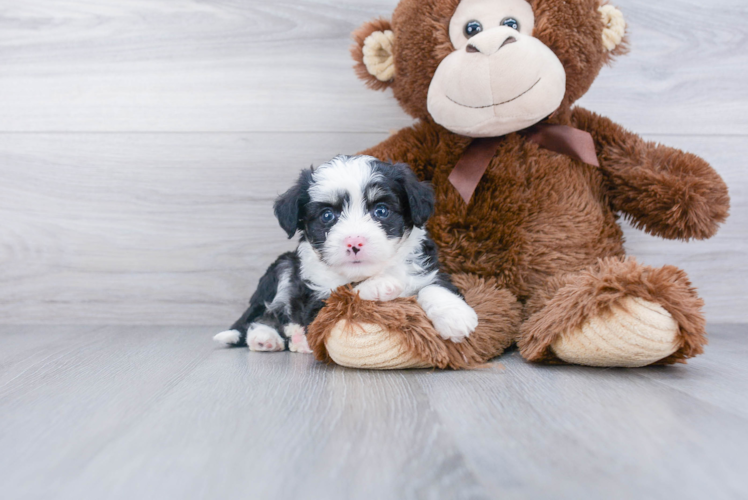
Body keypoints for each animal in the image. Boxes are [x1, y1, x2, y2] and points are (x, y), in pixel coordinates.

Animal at [213, 154, 480, 354]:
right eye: (327, 215)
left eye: (381, 210)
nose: (354, 242)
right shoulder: (315, 303)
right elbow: (342, 295)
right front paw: (380, 286)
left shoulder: (427, 267)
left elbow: (433, 286)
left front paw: (455, 316)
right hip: (282, 267)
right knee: (261, 315)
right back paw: (267, 337)